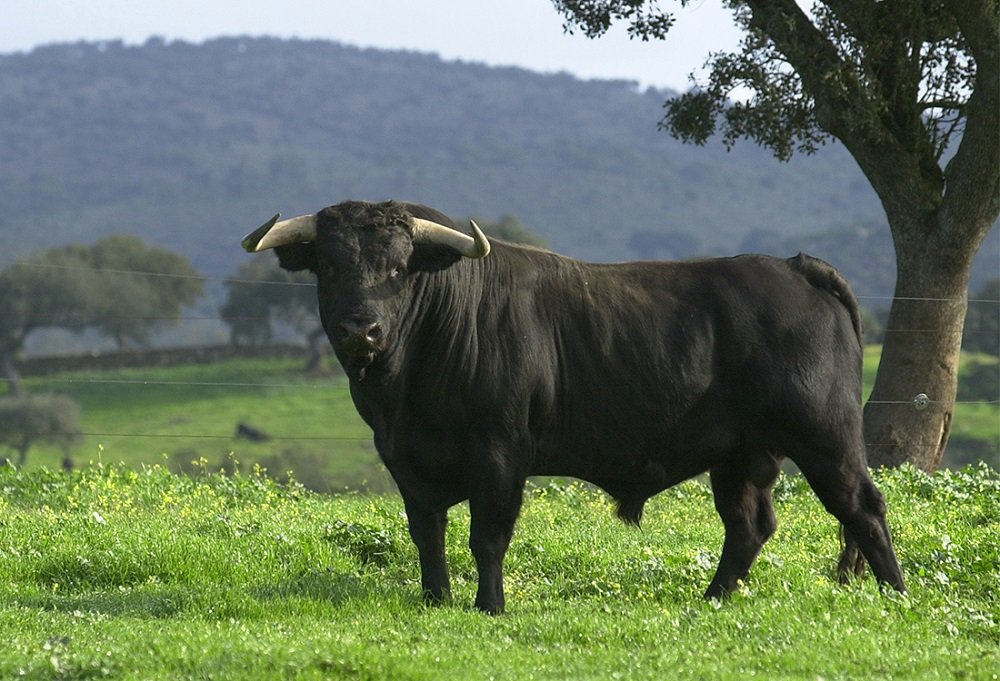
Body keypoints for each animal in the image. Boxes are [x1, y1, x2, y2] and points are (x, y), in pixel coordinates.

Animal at [241, 199, 906, 613]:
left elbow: (488, 536)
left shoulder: (499, 454)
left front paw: (489, 606)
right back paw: (712, 600)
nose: (362, 329)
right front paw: (436, 600)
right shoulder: (406, 462)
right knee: (749, 526)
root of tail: (794, 266)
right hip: (741, 455)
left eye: (401, 267)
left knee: (864, 508)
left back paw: (897, 595)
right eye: (329, 265)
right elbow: (428, 535)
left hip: (826, 438)